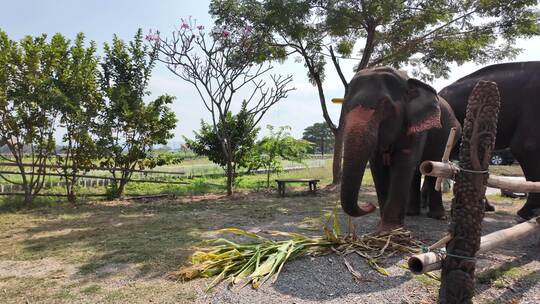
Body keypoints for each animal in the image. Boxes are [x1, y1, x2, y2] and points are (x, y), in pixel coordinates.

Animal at [338, 67, 460, 233]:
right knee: (417, 172)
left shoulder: (416, 127)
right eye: (345, 107)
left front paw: (389, 229)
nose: (370, 205)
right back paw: (411, 213)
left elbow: (404, 162)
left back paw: (438, 216)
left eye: (386, 106)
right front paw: (382, 227)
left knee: (433, 169)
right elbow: (378, 167)